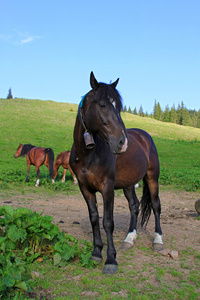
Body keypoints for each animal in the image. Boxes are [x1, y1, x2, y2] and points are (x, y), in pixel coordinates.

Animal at [69, 72, 163, 274]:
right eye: (102, 104)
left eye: (119, 107)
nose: (122, 142)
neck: (89, 154)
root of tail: (145, 136)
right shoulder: (85, 188)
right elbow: (94, 219)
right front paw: (96, 253)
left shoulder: (107, 188)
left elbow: (108, 222)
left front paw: (111, 259)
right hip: (128, 184)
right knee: (134, 206)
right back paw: (129, 238)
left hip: (152, 177)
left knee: (156, 205)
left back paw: (158, 240)